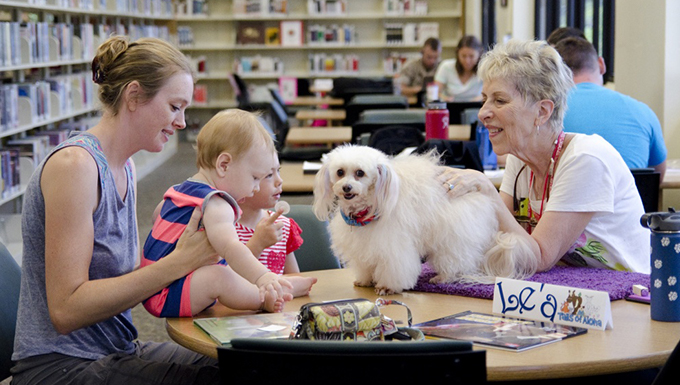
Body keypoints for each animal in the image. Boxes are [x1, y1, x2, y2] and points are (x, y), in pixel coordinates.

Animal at [312, 145, 536, 294]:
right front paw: (366, 280)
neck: (366, 210)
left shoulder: (393, 245)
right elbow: (365, 264)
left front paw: (387, 286)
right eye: (340, 172)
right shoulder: (364, 244)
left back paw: (443, 277)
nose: (346, 187)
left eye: (360, 173)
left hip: (453, 237)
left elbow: (395, 267)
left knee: (456, 260)